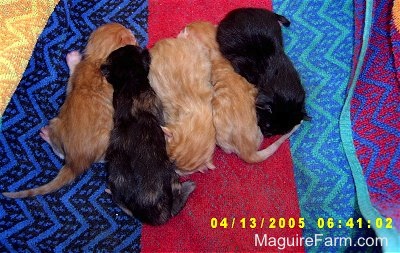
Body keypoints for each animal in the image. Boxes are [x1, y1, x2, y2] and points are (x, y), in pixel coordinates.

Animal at [2, 22, 138, 199]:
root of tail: (77, 162)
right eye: (130, 34)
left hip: (57, 124)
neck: (97, 61)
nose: (134, 34)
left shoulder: (75, 79)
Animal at [99, 44, 194, 224]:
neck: (129, 80)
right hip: (171, 177)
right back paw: (188, 187)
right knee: (175, 204)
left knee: (122, 204)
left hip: (116, 182)